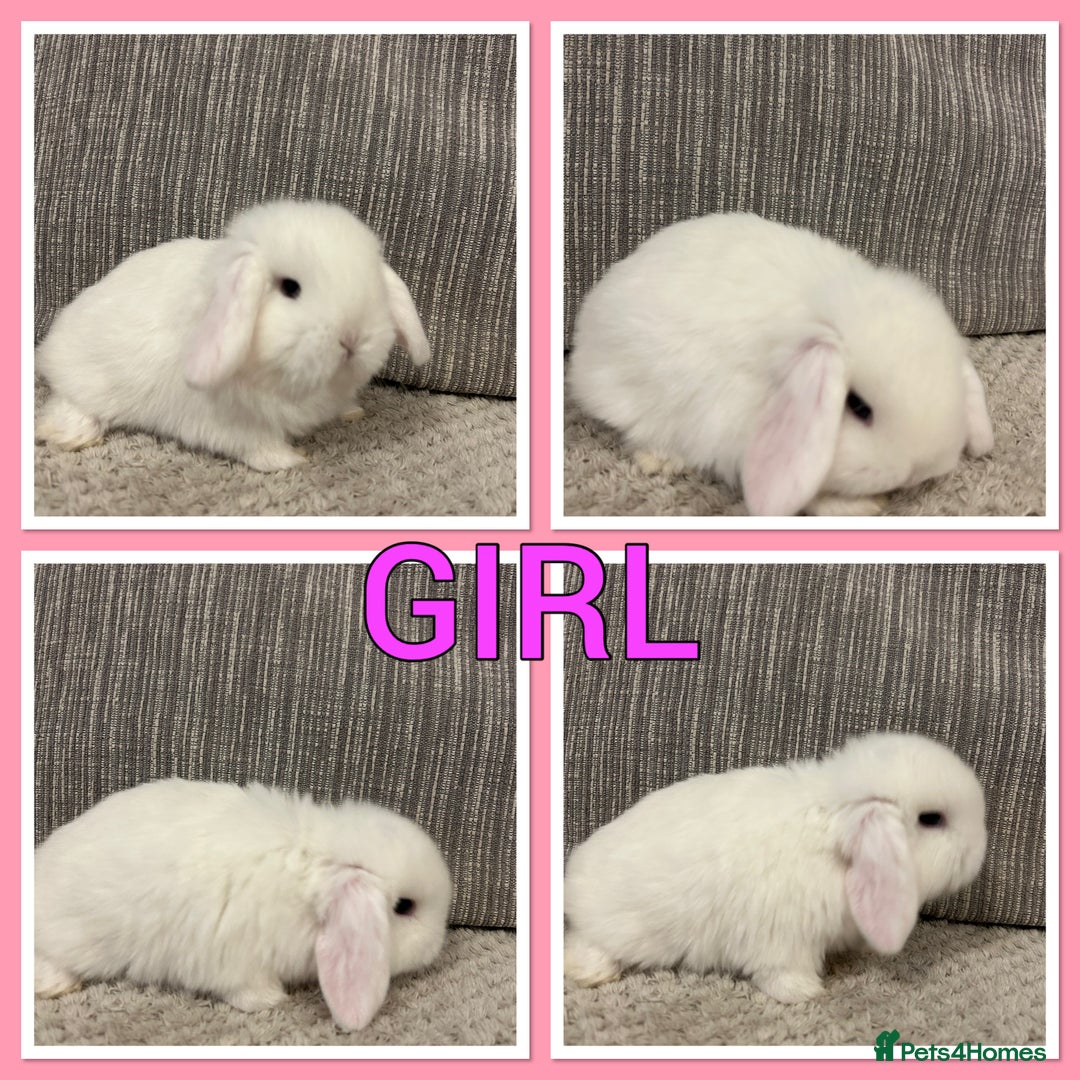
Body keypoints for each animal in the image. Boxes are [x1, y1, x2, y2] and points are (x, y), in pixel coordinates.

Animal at [34, 779, 453, 1030]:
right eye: (404, 907)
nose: (437, 945)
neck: (308, 869)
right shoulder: (235, 960)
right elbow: (246, 990)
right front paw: (271, 1001)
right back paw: (55, 986)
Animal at [35, 199, 431, 471]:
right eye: (290, 288)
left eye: (372, 281)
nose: (353, 339)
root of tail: (50, 344)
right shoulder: (230, 423)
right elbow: (258, 447)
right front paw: (293, 459)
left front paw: (351, 411)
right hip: (88, 383)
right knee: (69, 406)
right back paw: (69, 436)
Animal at [564, 731, 986, 1003]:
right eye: (931, 819)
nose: (979, 853)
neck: (832, 834)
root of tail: (574, 875)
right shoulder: (785, 939)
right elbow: (782, 972)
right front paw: (806, 993)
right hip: (619, 929)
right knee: (584, 944)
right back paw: (594, 974)